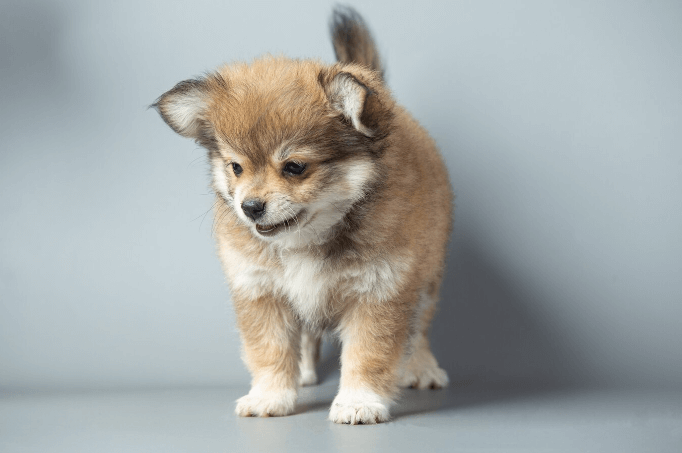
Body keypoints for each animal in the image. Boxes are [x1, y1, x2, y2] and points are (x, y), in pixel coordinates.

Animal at [153, 6, 452, 424]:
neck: (306, 241)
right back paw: (305, 372)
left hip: (427, 279)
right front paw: (270, 396)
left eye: (294, 167)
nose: (249, 207)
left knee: (420, 329)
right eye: (236, 167)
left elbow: (368, 354)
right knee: (308, 335)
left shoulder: (379, 292)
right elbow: (270, 351)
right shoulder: (261, 291)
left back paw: (421, 368)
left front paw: (358, 401)